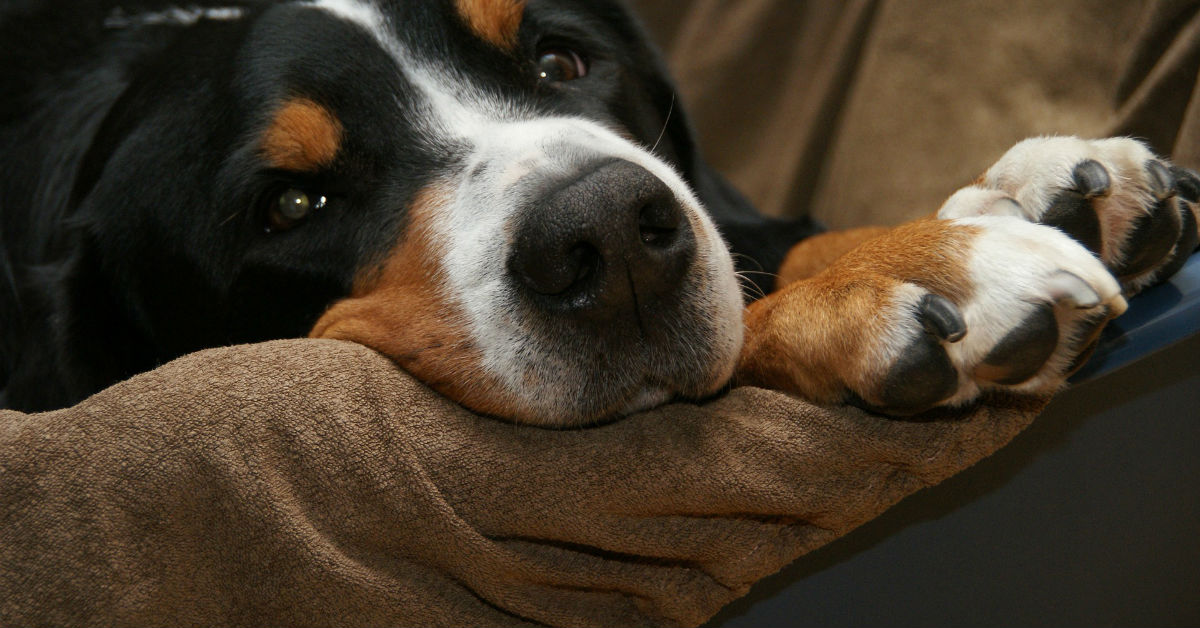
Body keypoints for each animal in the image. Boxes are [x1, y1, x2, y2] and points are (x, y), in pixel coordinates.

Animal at [0, 0, 1195, 425]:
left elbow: (772, 239)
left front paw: (1010, 203)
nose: (610, 233)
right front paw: (908, 283)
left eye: (559, 61)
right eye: (294, 203)